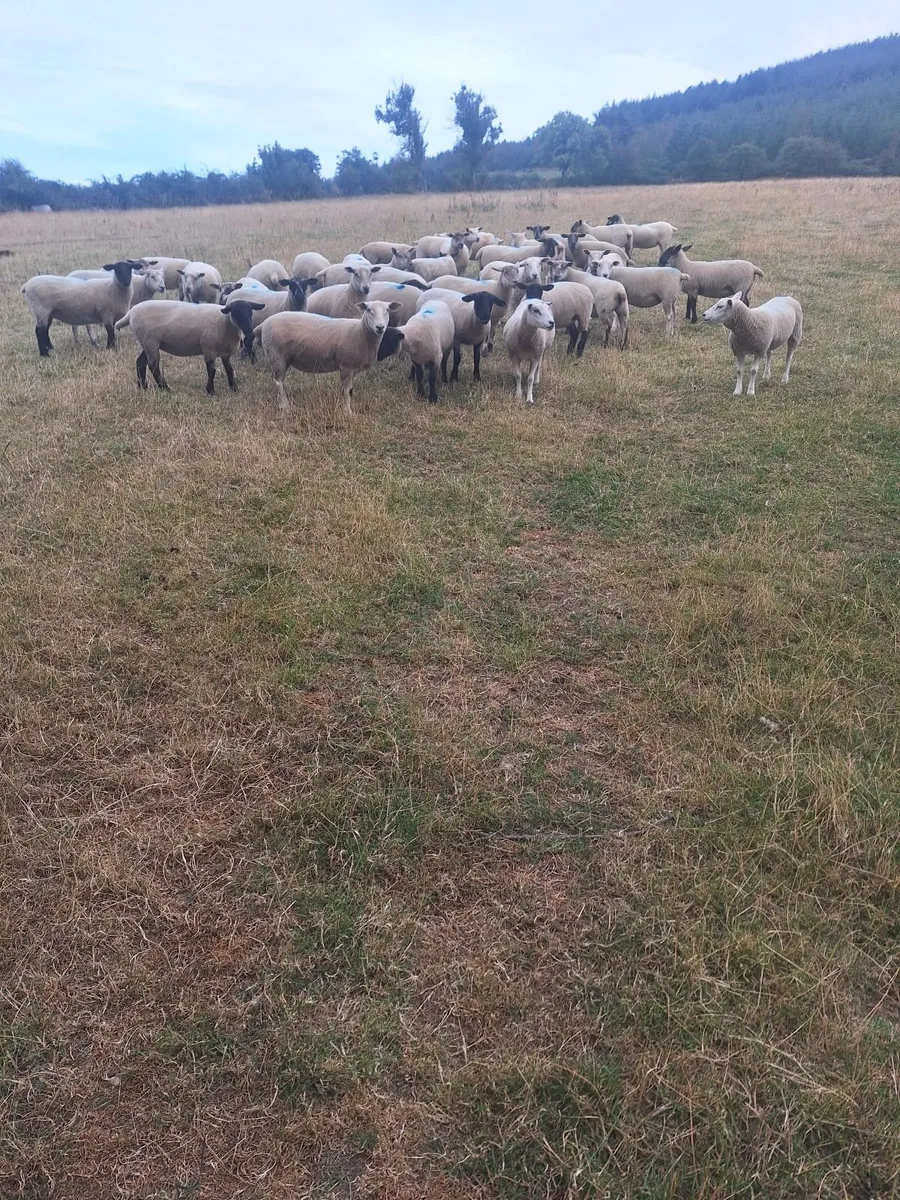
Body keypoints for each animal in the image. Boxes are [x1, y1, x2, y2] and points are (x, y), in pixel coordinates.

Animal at [115, 298, 264, 393]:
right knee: (154, 367)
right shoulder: (208, 348)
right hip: (150, 341)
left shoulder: (225, 352)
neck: (225, 322)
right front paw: (210, 391)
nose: (249, 332)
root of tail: (130, 313)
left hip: (143, 342)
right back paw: (165, 389)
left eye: (250, 312)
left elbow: (230, 370)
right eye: (236, 312)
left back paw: (143, 387)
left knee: (140, 362)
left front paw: (234, 389)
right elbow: (212, 370)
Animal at [256, 299, 400, 414]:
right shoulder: (346, 365)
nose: (380, 327)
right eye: (369, 310)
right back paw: (285, 406)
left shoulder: (352, 367)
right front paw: (347, 412)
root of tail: (263, 324)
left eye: (387, 310)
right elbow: (347, 390)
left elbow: (350, 390)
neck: (359, 331)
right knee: (278, 382)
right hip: (276, 355)